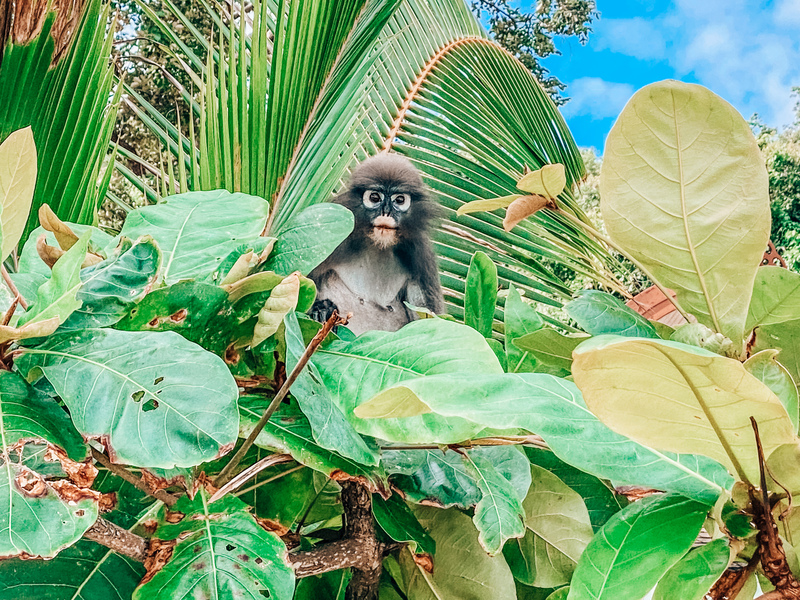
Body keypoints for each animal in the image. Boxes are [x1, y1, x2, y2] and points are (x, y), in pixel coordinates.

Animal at [308, 152, 444, 336]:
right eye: (374, 197)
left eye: (399, 200)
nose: (386, 212)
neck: (378, 244)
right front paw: (321, 309)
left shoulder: (420, 252)